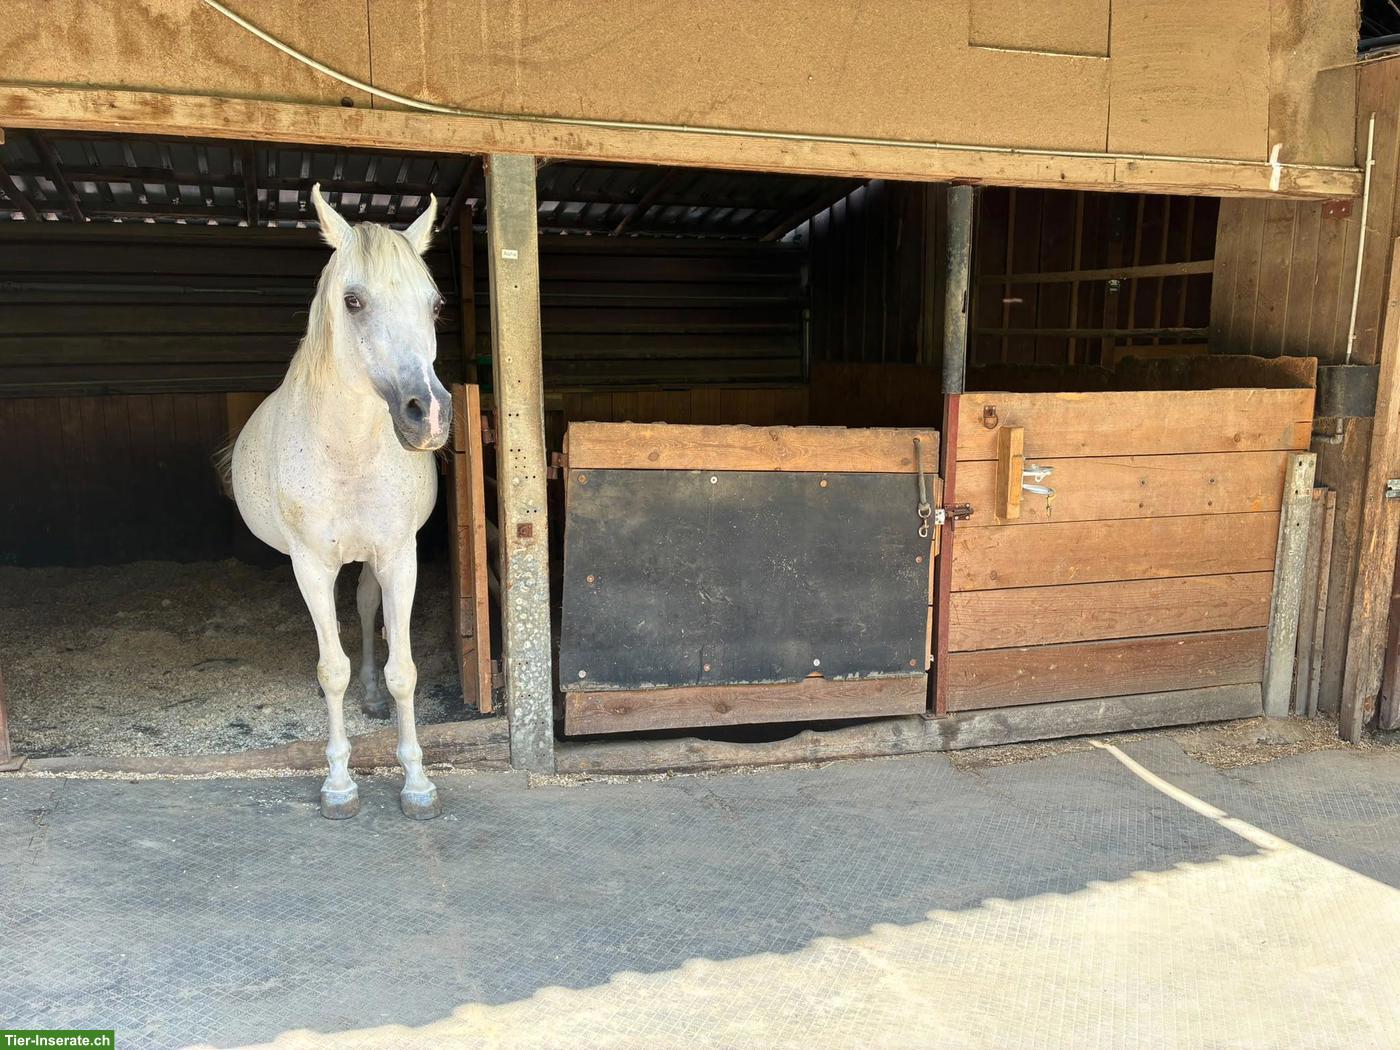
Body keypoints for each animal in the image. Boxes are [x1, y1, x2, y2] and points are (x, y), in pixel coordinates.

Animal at [224, 184, 451, 820]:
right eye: (353, 301)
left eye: (435, 306)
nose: (428, 413)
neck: (346, 451)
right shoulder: (311, 565)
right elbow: (331, 670)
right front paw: (339, 783)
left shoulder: (400, 556)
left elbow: (404, 671)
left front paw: (417, 783)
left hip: (374, 558)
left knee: (369, 609)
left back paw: (371, 697)